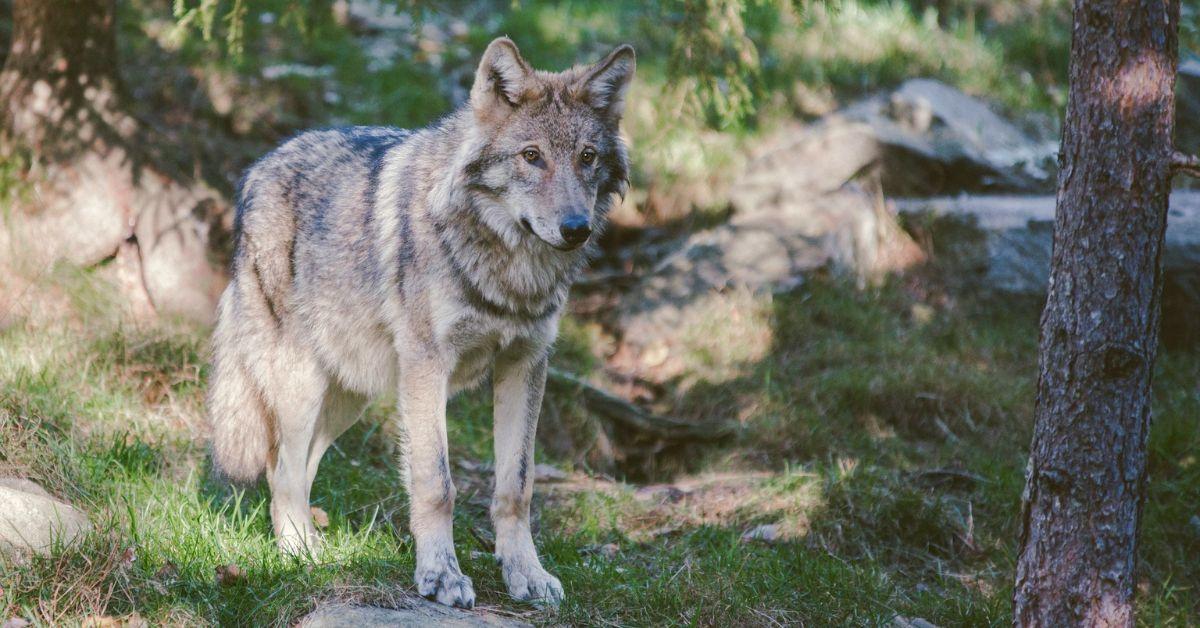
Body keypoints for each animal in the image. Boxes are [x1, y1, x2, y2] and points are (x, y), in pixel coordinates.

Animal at [206, 39, 638, 609]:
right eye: (531, 156)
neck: (509, 271)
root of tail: (257, 169)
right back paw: (301, 555)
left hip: (349, 396)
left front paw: (526, 574)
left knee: (300, 467)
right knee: (281, 471)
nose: (576, 228)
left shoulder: (525, 364)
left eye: (587, 157)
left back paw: (315, 546)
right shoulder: (428, 366)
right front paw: (441, 576)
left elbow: (516, 487)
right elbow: (437, 484)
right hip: (302, 385)